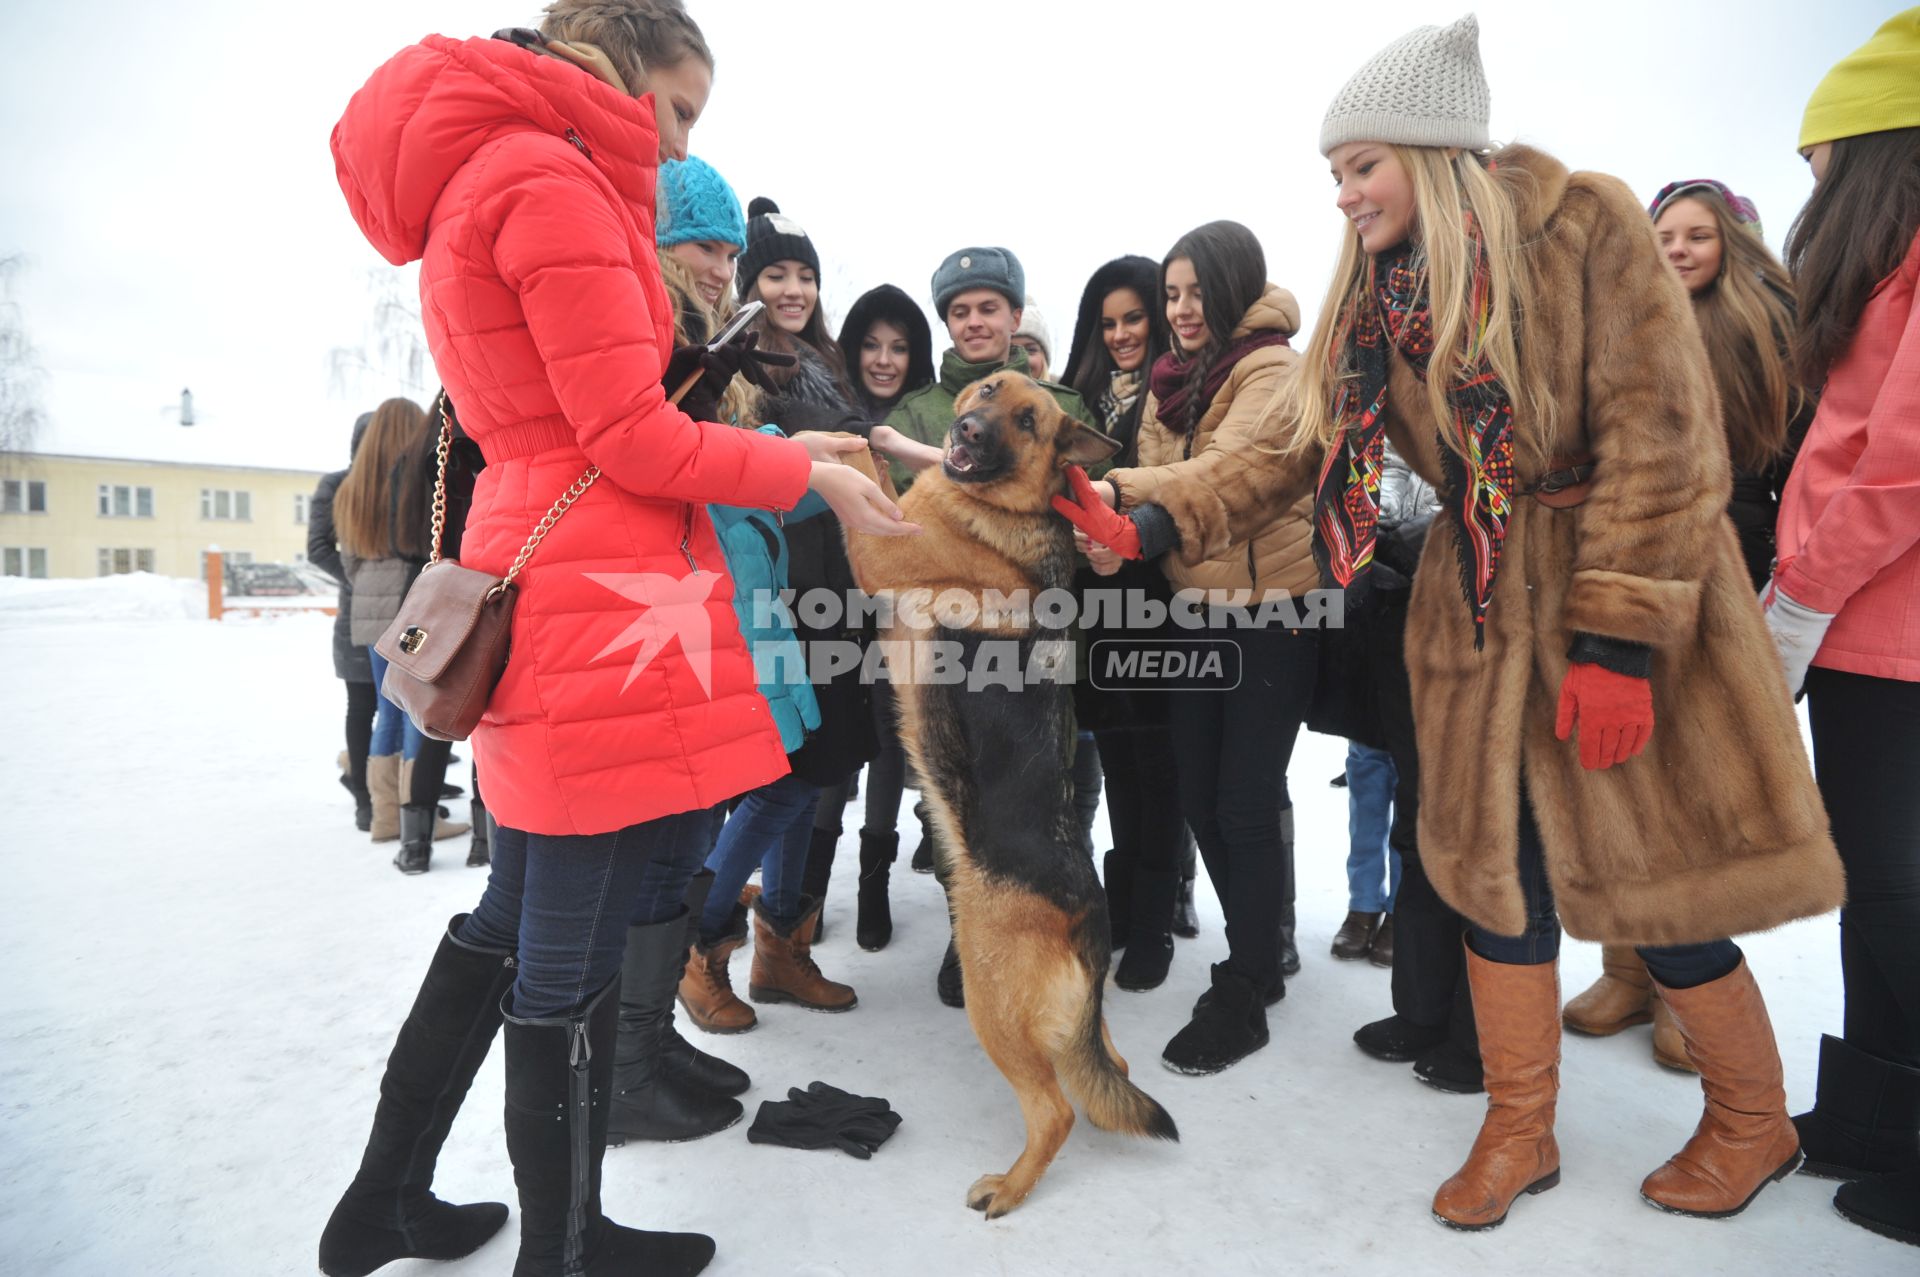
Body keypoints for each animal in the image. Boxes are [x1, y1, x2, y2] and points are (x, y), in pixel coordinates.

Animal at [844, 370, 1175, 1213]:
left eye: (1029, 421)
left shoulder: (879, 540)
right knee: (1108, 1067)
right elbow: (885, 463)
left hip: (989, 999)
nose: (968, 433)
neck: (1009, 510)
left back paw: (1009, 1187)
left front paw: (823, 438)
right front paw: (884, 437)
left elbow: (857, 474)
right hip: (1063, 1018)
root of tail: (1088, 913)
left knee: (1055, 1108)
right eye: (988, 390)